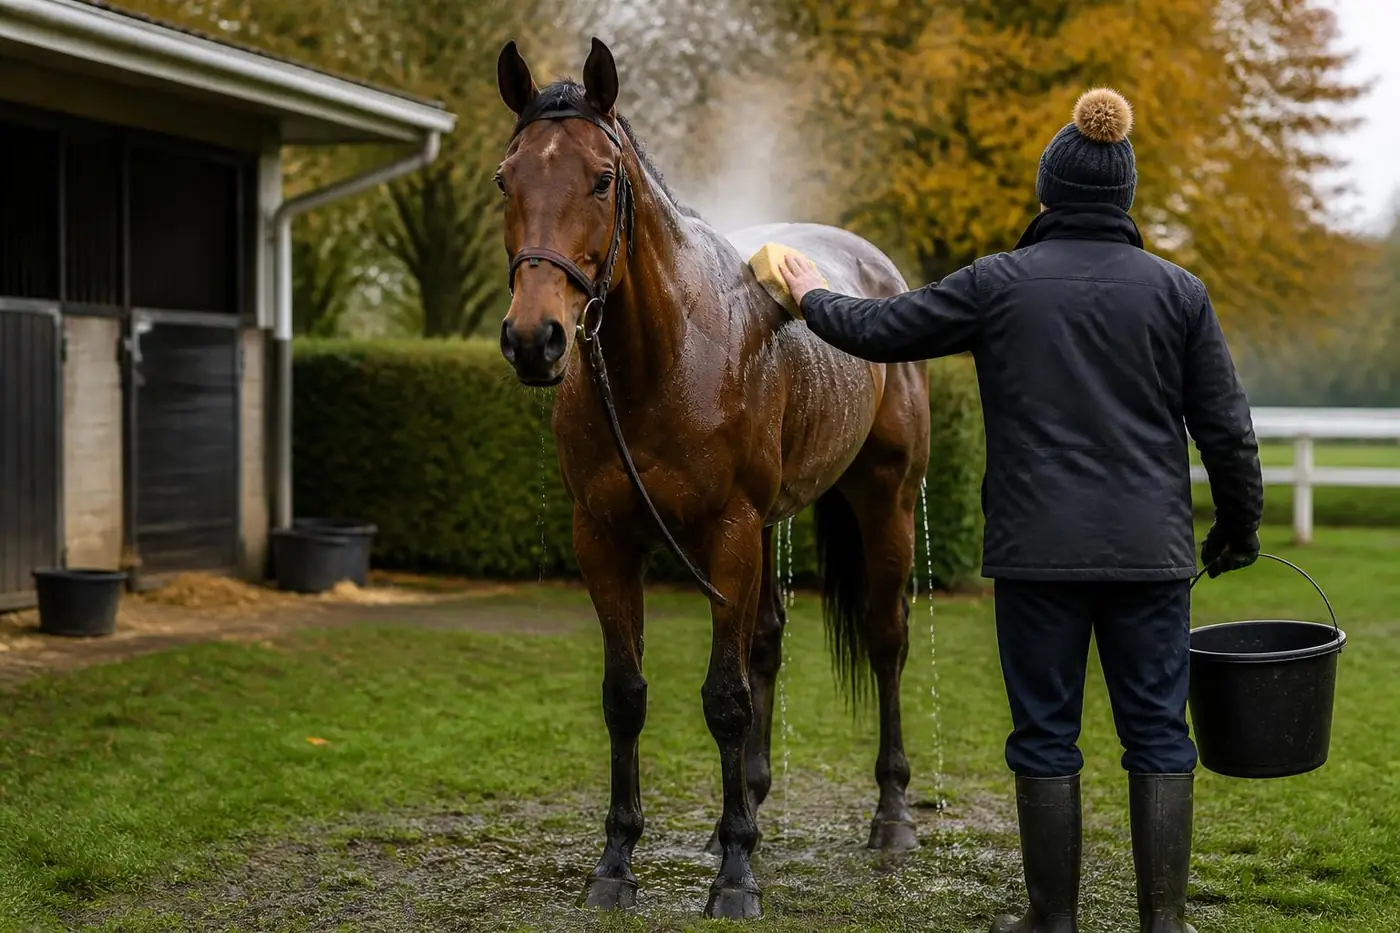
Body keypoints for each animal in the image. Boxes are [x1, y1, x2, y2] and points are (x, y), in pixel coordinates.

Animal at [495, 37, 932, 920]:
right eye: (505, 178)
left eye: (602, 177)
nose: (534, 338)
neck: (664, 358)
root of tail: (878, 270)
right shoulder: (605, 539)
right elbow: (626, 694)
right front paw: (618, 862)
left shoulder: (727, 534)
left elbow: (725, 700)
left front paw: (734, 876)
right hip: (770, 527)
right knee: (767, 643)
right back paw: (749, 807)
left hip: (886, 502)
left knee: (885, 639)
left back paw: (891, 816)